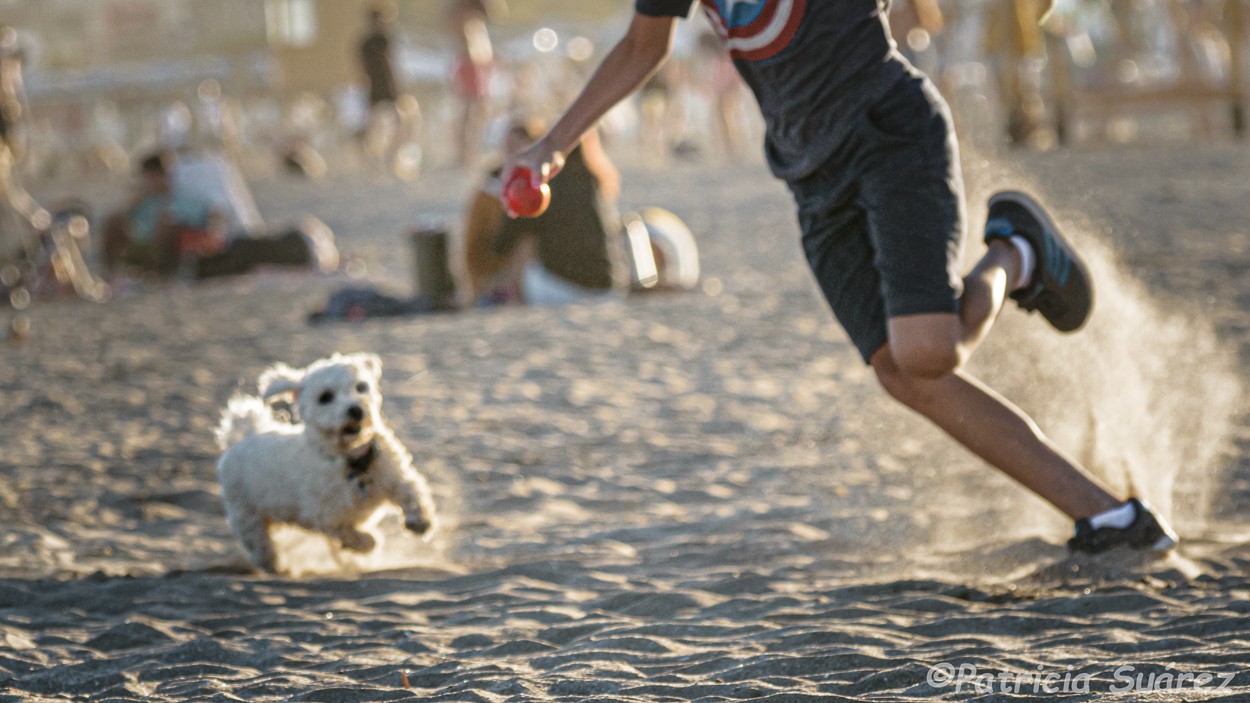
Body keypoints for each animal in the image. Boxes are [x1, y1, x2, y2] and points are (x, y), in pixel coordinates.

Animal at [212, 350, 432, 570]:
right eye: (325, 397)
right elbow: (348, 534)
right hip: (246, 515)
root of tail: (244, 436)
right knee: (260, 546)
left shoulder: (393, 475)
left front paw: (420, 522)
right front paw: (368, 541)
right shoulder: (324, 517)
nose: (356, 410)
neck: (352, 460)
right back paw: (276, 566)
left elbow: (411, 492)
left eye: (361, 387)